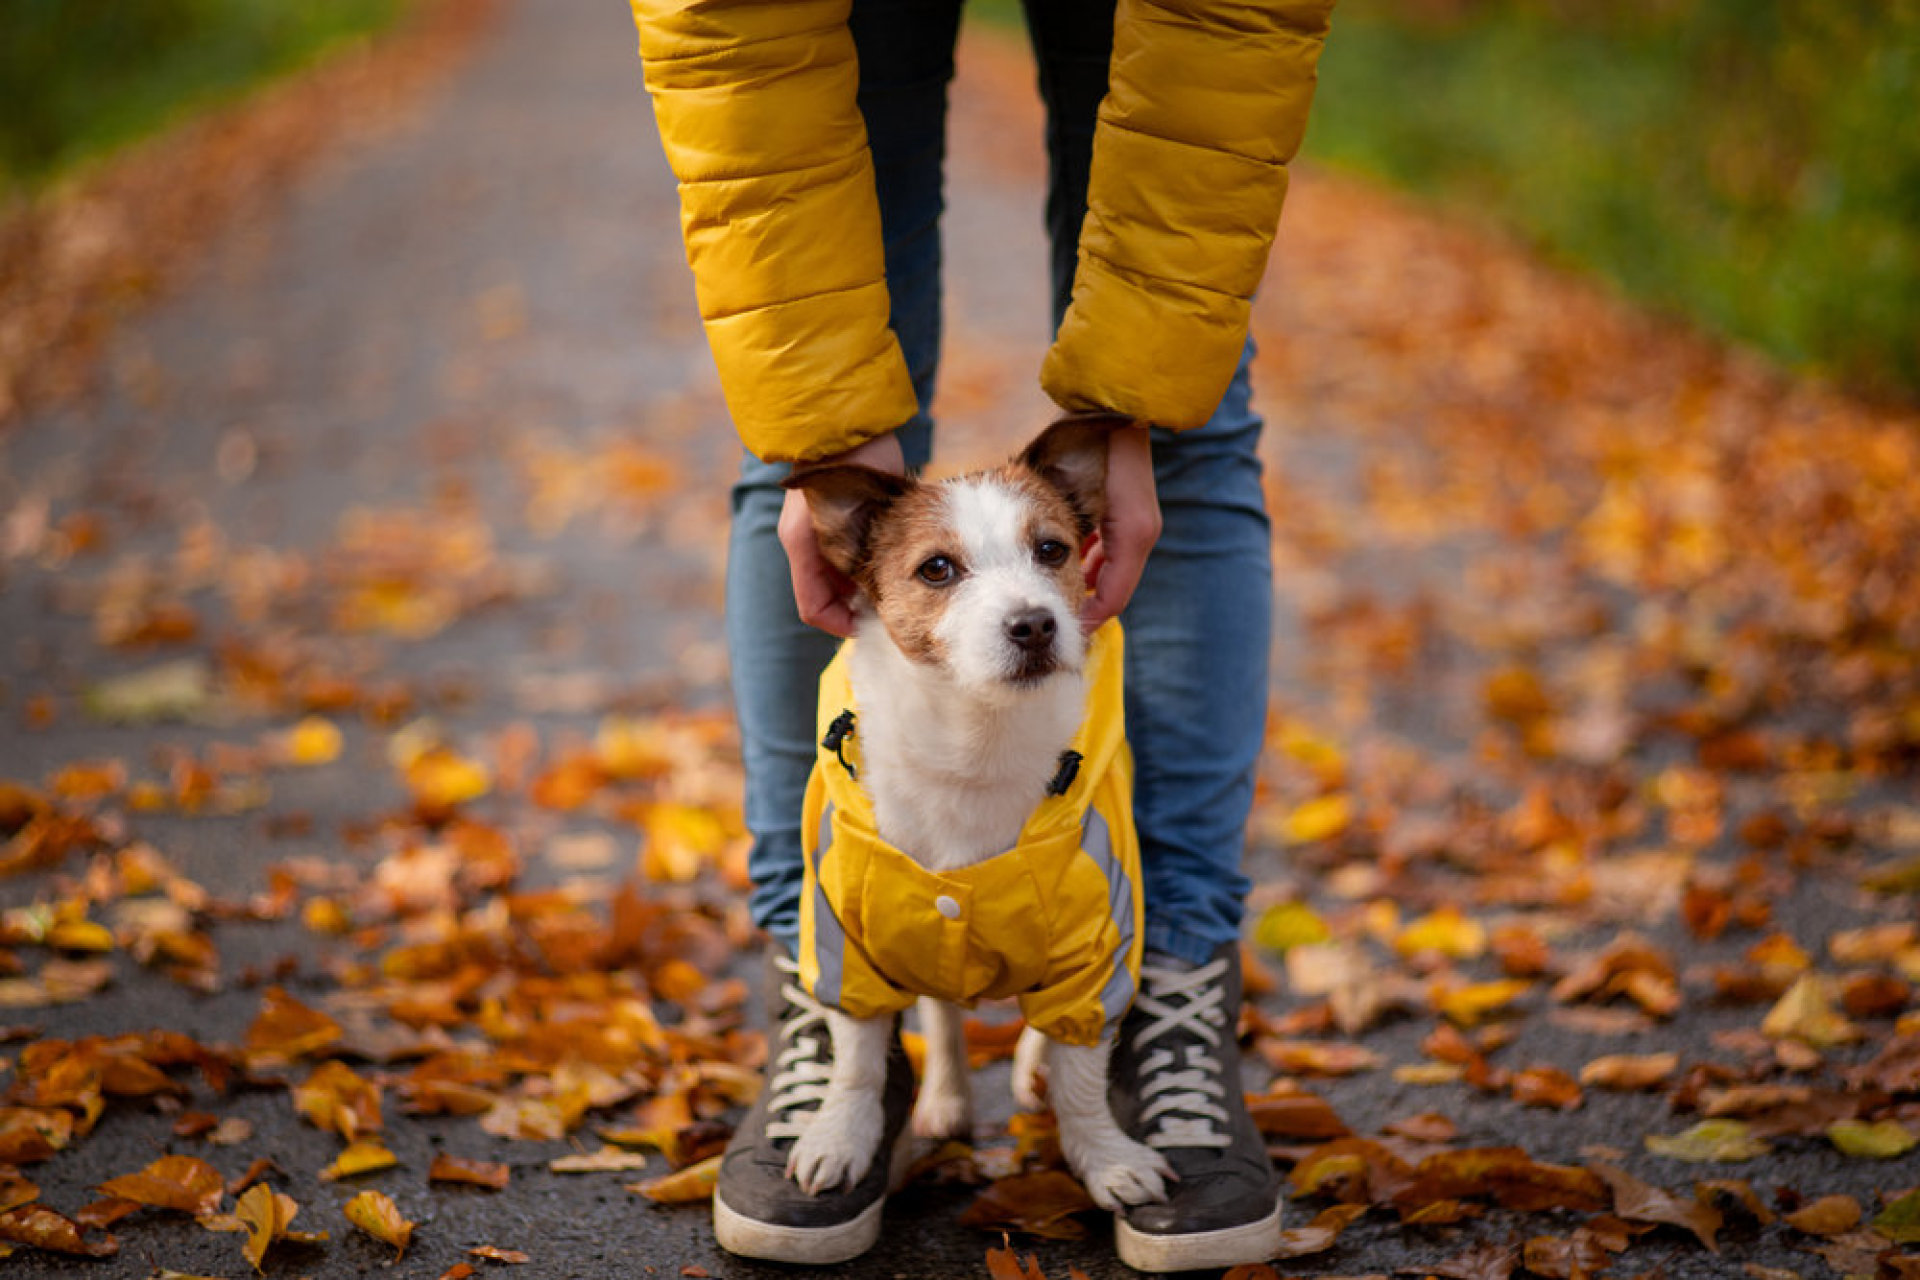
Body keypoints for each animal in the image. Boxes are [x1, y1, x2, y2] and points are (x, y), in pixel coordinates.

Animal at [775, 422, 1167, 1220]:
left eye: (1051, 549)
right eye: (937, 569)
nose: (1034, 624)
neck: (975, 746)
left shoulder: (1096, 946)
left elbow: (1082, 1073)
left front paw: (1105, 1159)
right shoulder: (847, 939)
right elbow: (859, 1059)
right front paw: (841, 1137)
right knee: (944, 1011)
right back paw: (948, 1098)